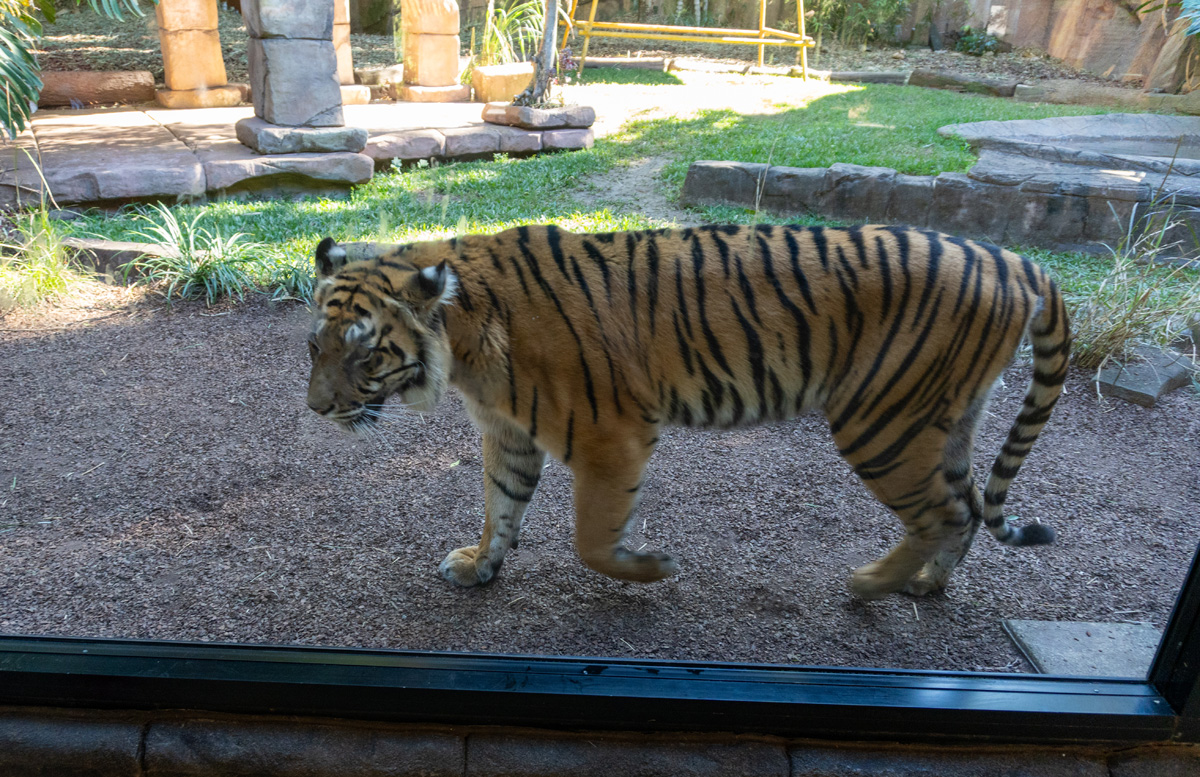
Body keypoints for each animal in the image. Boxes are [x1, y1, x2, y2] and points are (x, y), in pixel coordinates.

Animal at [306, 223, 1069, 600]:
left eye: (365, 353)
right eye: (315, 345)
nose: (317, 409)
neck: (463, 345)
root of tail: (1016, 259)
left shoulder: (611, 436)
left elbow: (591, 539)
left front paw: (652, 567)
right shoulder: (510, 433)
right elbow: (501, 507)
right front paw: (479, 567)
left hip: (882, 420)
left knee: (942, 511)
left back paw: (871, 585)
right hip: (944, 419)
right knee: (964, 506)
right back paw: (926, 585)